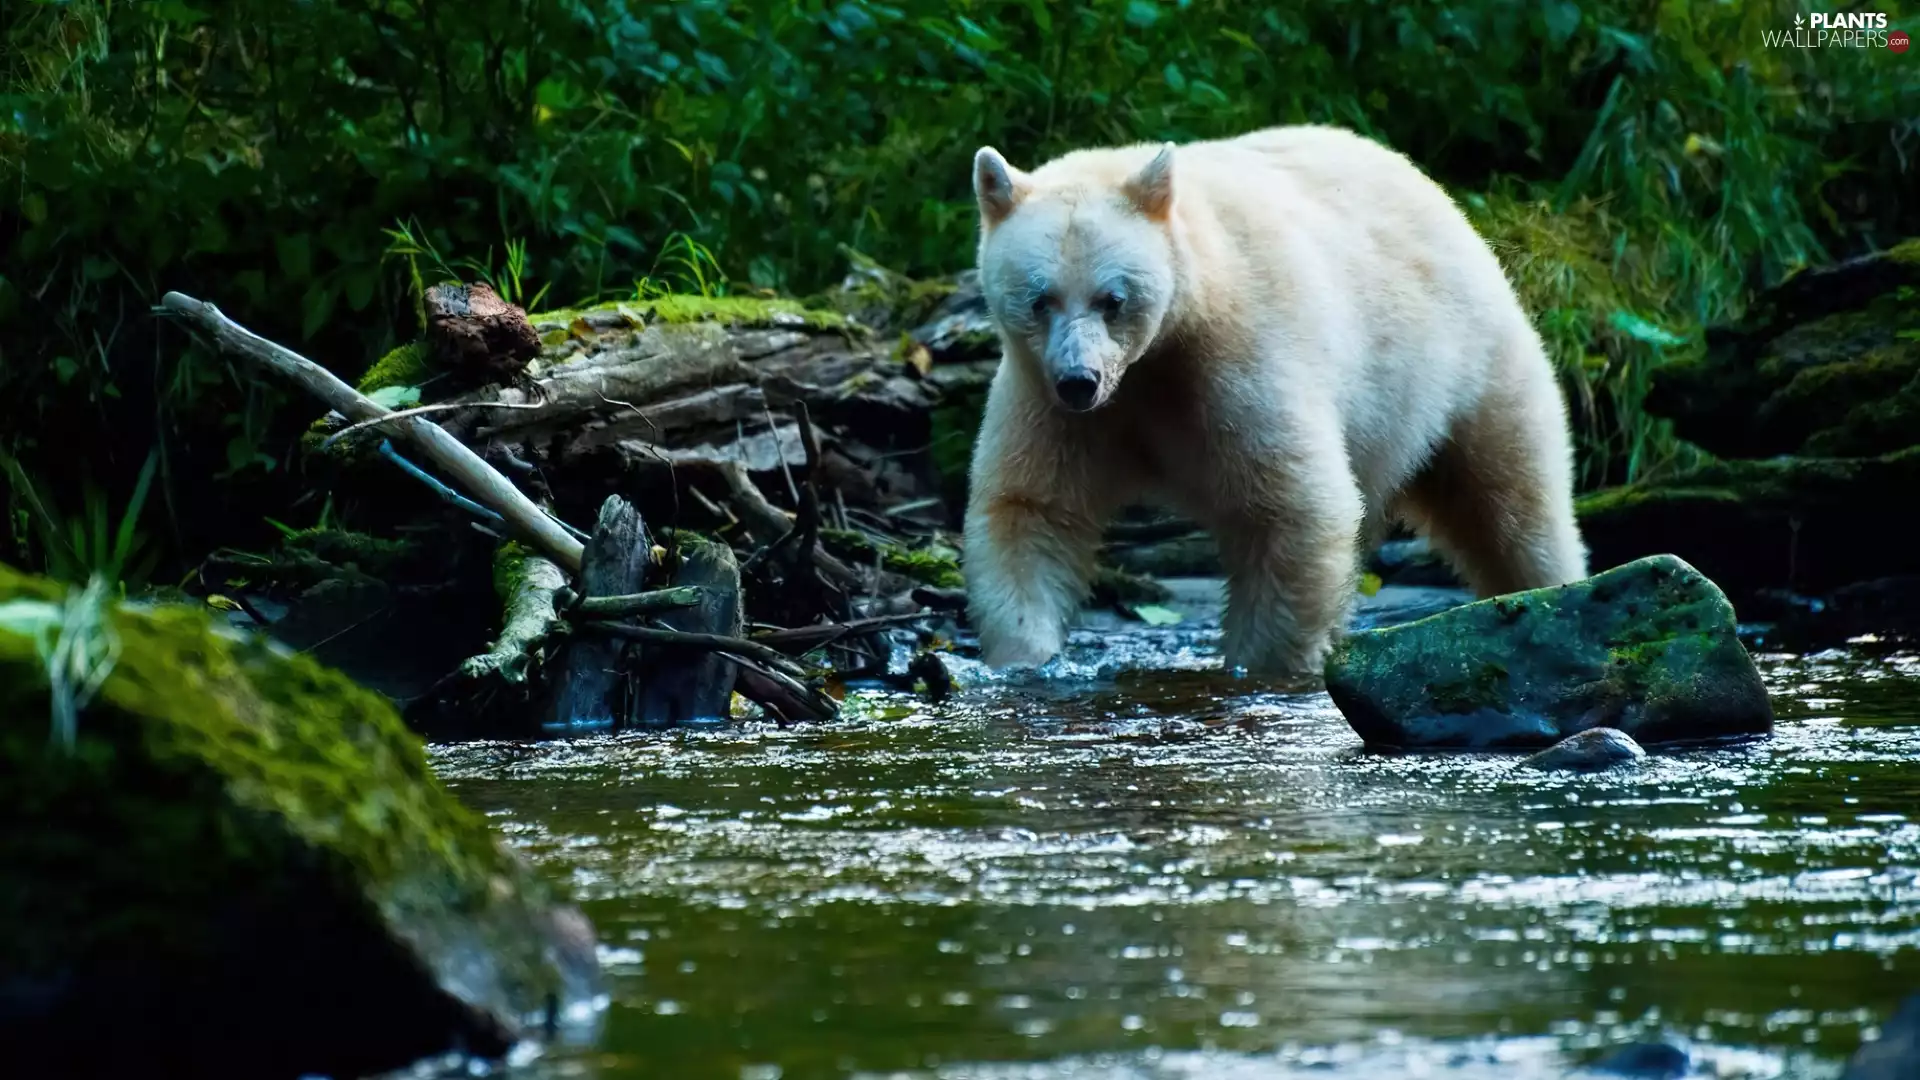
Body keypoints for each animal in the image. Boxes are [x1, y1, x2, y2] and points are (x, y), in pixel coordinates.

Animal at [960, 124, 1589, 676]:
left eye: (1112, 299)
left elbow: (1292, 505)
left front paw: (1262, 663)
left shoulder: (1238, 363)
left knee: (1511, 498)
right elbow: (1032, 507)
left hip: (1461, 362)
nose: (1080, 380)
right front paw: (1026, 655)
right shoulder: (1047, 397)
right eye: (1040, 299)